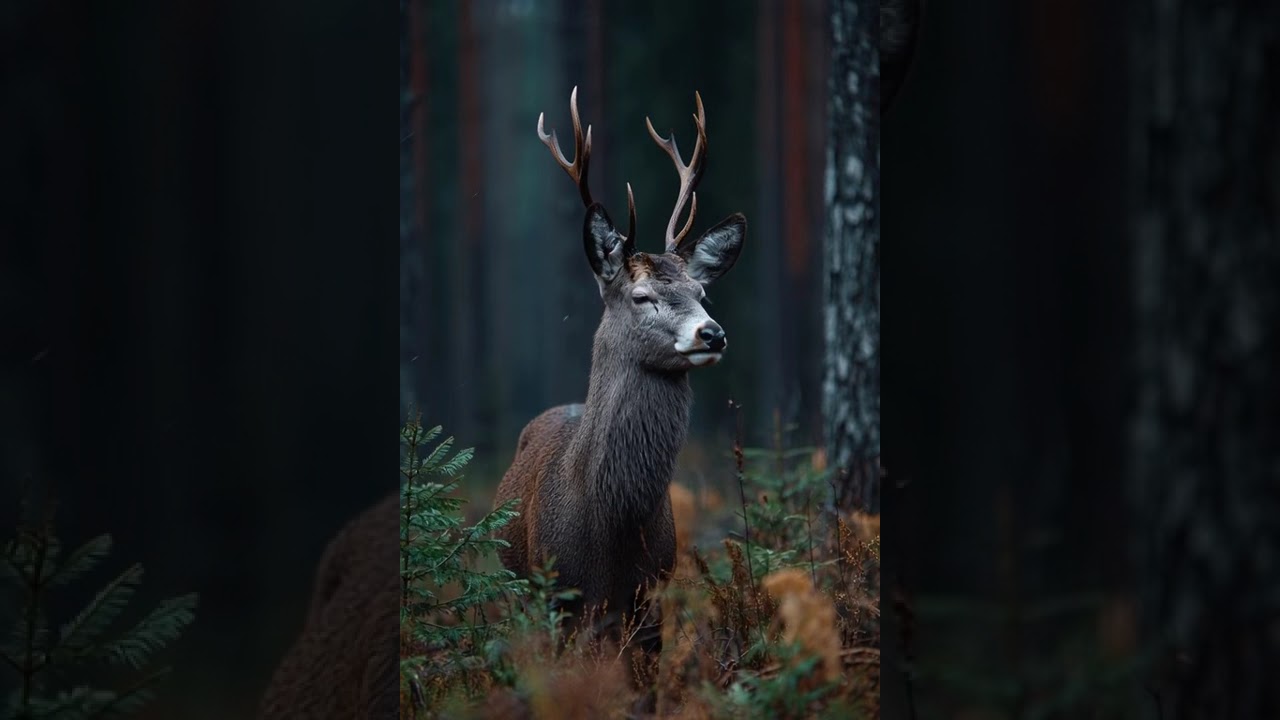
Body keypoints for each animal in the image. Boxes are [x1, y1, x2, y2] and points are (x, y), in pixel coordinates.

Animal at [492, 86, 746, 663]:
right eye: (641, 296)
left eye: (701, 292)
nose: (713, 334)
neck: (611, 533)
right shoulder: (559, 597)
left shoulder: (651, 594)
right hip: (517, 590)